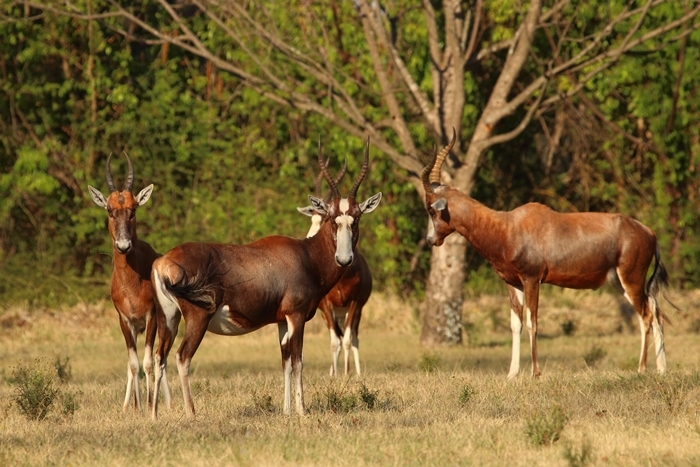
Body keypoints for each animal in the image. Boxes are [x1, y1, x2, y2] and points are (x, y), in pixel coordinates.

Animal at [88, 152, 172, 412]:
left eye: (133, 209)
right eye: (109, 209)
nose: (123, 245)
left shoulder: (151, 318)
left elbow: (148, 363)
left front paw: (149, 405)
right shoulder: (125, 321)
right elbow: (133, 364)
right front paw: (136, 407)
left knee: (161, 356)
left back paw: (166, 403)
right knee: (133, 363)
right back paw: (129, 405)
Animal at [296, 161, 372, 376]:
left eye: (325, 219)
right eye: (315, 219)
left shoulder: (355, 304)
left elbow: (346, 340)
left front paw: (346, 374)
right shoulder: (327, 306)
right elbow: (334, 342)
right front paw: (335, 375)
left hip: (353, 312)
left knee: (353, 338)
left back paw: (356, 372)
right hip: (330, 313)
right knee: (337, 337)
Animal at [418, 132, 668, 380]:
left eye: (431, 208)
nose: (431, 240)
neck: (507, 227)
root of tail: (650, 232)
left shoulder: (532, 279)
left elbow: (532, 322)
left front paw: (535, 373)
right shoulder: (513, 283)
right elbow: (515, 324)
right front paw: (512, 374)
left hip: (631, 280)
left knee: (646, 316)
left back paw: (642, 368)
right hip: (622, 283)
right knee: (654, 311)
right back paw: (661, 369)